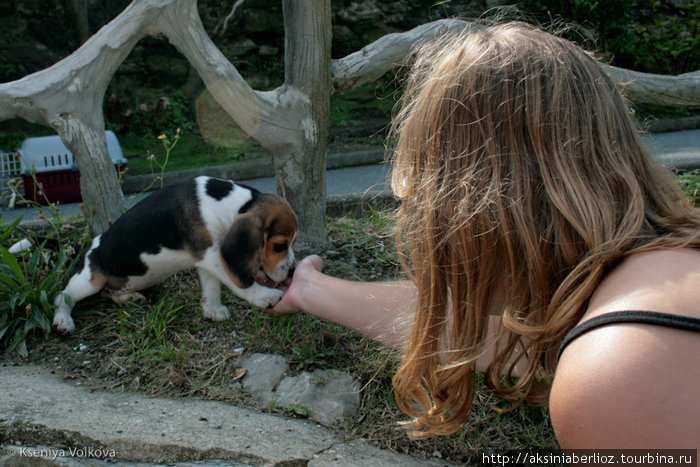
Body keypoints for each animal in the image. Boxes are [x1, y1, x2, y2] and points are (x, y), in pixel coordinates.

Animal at [53, 175, 296, 332]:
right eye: (279, 246)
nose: (293, 271)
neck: (232, 203)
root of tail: (88, 248)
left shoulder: (207, 258)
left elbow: (212, 286)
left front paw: (212, 310)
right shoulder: (210, 254)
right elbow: (235, 282)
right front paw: (263, 296)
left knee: (108, 293)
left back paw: (128, 297)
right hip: (88, 281)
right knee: (62, 297)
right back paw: (63, 321)